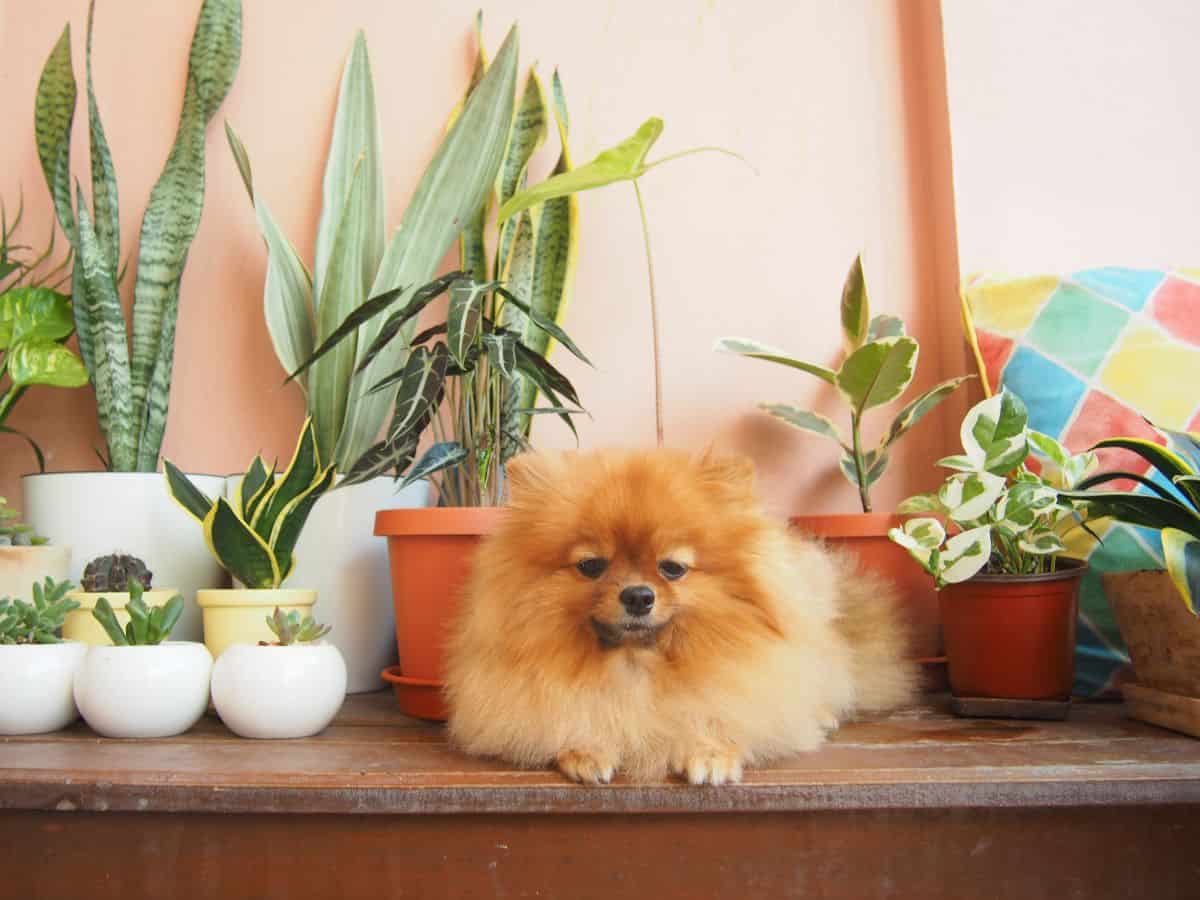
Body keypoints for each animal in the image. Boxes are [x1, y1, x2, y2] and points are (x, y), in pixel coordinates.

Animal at [444, 451, 916, 782]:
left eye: (672, 567)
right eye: (591, 566)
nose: (638, 596)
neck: (635, 666)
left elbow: (720, 712)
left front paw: (710, 752)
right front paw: (586, 749)